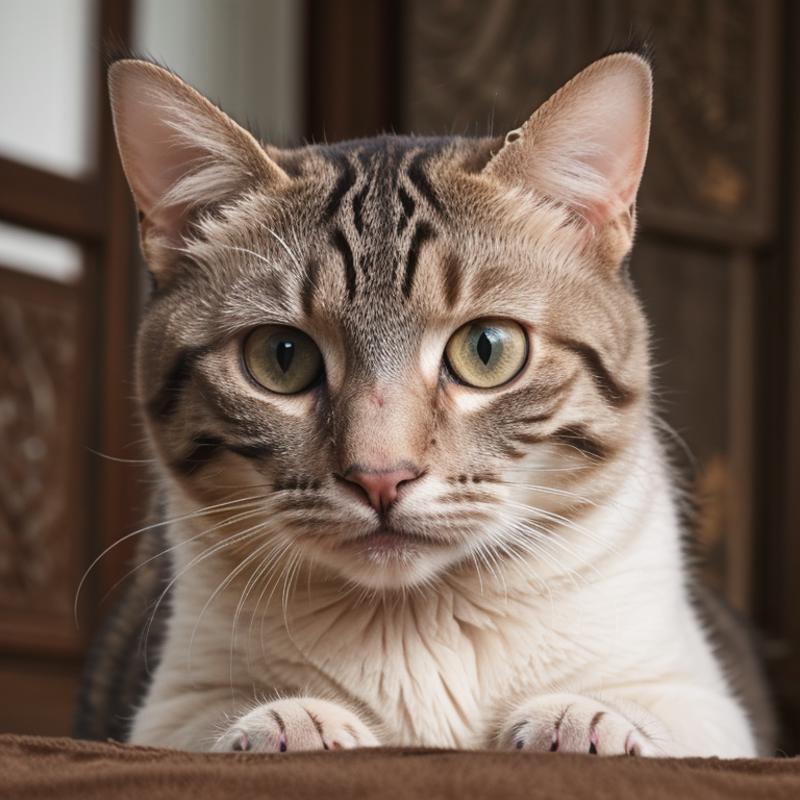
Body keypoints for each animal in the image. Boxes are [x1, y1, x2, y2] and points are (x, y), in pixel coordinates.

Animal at [83, 51, 776, 756]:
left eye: (487, 349)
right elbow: (211, 725)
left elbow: (655, 717)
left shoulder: (704, 700)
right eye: (282, 356)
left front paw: (584, 721)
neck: (419, 618)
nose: (380, 478)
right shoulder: (163, 706)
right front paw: (292, 724)